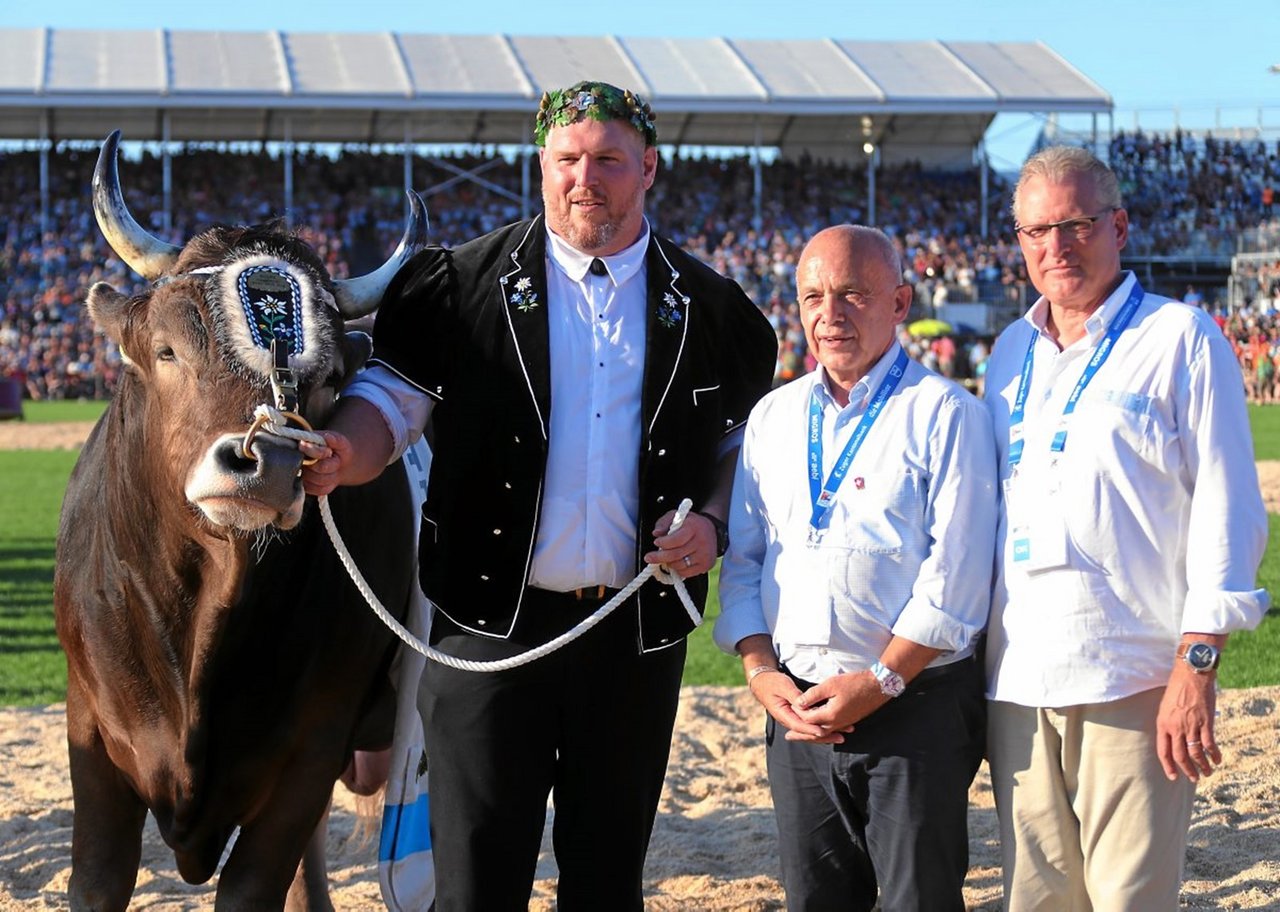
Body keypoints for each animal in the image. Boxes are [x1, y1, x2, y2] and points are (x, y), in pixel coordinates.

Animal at [52, 133, 430, 912]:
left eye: (328, 382)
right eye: (167, 348)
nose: (264, 463)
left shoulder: (311, 746)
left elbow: (257, 882)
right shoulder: (91, 732)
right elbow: (98, 879)